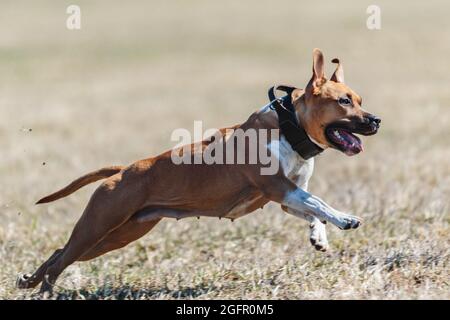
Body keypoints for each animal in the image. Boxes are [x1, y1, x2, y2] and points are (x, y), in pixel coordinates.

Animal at [17, 48, 382, 294]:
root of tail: (124, 170)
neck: (288, 125)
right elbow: (318, 201)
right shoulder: (280, 188)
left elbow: (312, 210)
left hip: (117, 235)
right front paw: (345, 218)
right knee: (62, 257)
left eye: (360, 99)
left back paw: (30, 281)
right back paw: (43, 288)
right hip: (99, 225)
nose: (376, 120)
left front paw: (319, 236)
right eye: (344, 101)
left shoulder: (286, 197)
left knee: (60, 252)